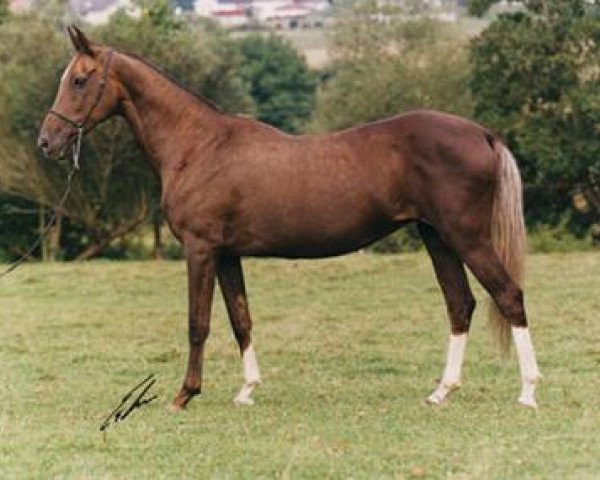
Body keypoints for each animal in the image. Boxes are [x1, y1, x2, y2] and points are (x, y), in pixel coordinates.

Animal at [39, 27, 540, 408]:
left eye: (80, 80)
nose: (48, 141)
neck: (198, 146)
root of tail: (482, 133)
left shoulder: (200, 250)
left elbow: (198, 323)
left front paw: (185, 395)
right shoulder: (227, 255)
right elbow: (240, 319)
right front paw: (247, 390)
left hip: (465, 236)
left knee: (508, 295)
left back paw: (528, 392)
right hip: (436, 236)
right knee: (461, 304)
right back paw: (441, 392)